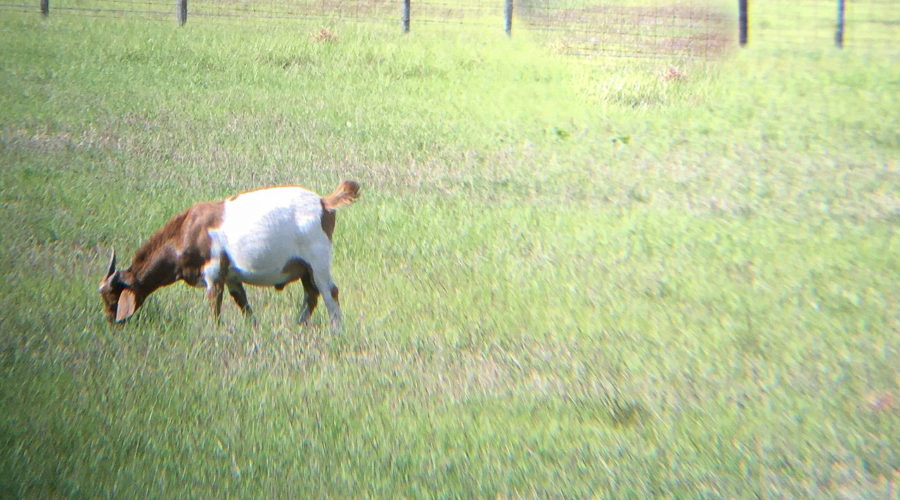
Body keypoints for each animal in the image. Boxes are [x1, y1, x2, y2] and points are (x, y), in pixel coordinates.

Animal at [97, 182, 358, 330]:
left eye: (112, 299)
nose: (112, 324)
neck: (187, 232)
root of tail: (323, 202)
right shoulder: (232, 277)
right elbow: (243, 304)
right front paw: (254, 329)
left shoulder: (214, 273)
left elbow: (215, 306)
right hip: (305, 268)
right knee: (311, 294)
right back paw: (298, 326)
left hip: (317, 259)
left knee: (329, 292)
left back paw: (336, 330)